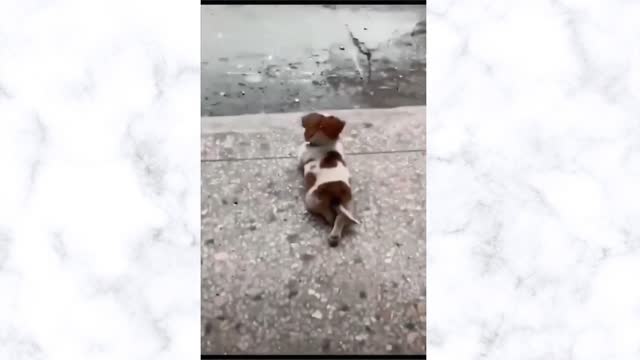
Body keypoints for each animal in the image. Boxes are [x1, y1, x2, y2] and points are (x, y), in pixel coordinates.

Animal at [296, 113, 360, 248]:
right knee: (342, 218)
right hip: (348, 204)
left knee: (328, 214)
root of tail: (335, 193)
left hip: (311, 199)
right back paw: (334, 236)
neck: (324, 143)